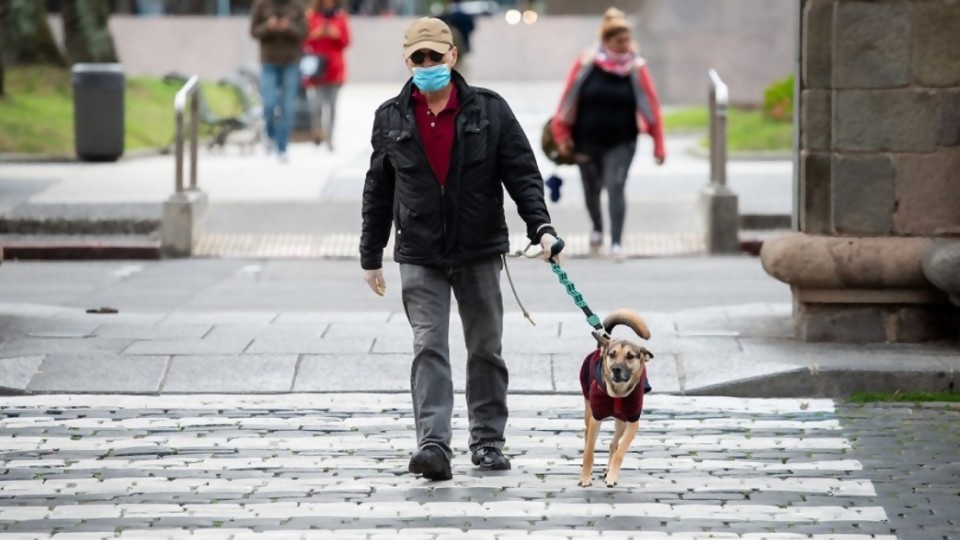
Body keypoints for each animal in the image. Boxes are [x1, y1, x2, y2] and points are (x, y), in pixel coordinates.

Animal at [576, 308, 652, 490]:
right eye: (612, 355)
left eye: (630, 356)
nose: (616, 369)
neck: (617, 393)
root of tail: (605, 342)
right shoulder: (596, 418)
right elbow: (589, 452)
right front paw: (585, 477)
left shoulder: (633, 422)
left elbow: (620, 451)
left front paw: (611, 476)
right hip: (588, 412)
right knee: (587, 437)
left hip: (621, 422)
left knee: (613, 443)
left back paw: (608, 470)